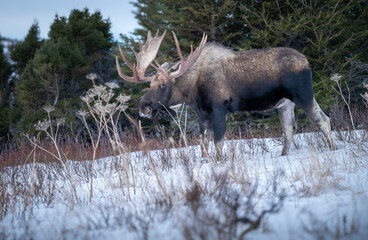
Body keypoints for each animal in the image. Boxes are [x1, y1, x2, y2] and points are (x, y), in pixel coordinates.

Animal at [115, 29, 336, 158]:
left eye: (162, 85)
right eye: (150, 83)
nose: (143, 107)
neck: (192, 91)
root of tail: (307, 61)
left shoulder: (219, 108)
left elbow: (218, 143)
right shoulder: (202, 115)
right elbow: (203, 145)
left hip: (303, 94)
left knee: (323, 119)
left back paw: (333, 148)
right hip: (285, 104)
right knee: (289, 129)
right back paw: (283, 155)